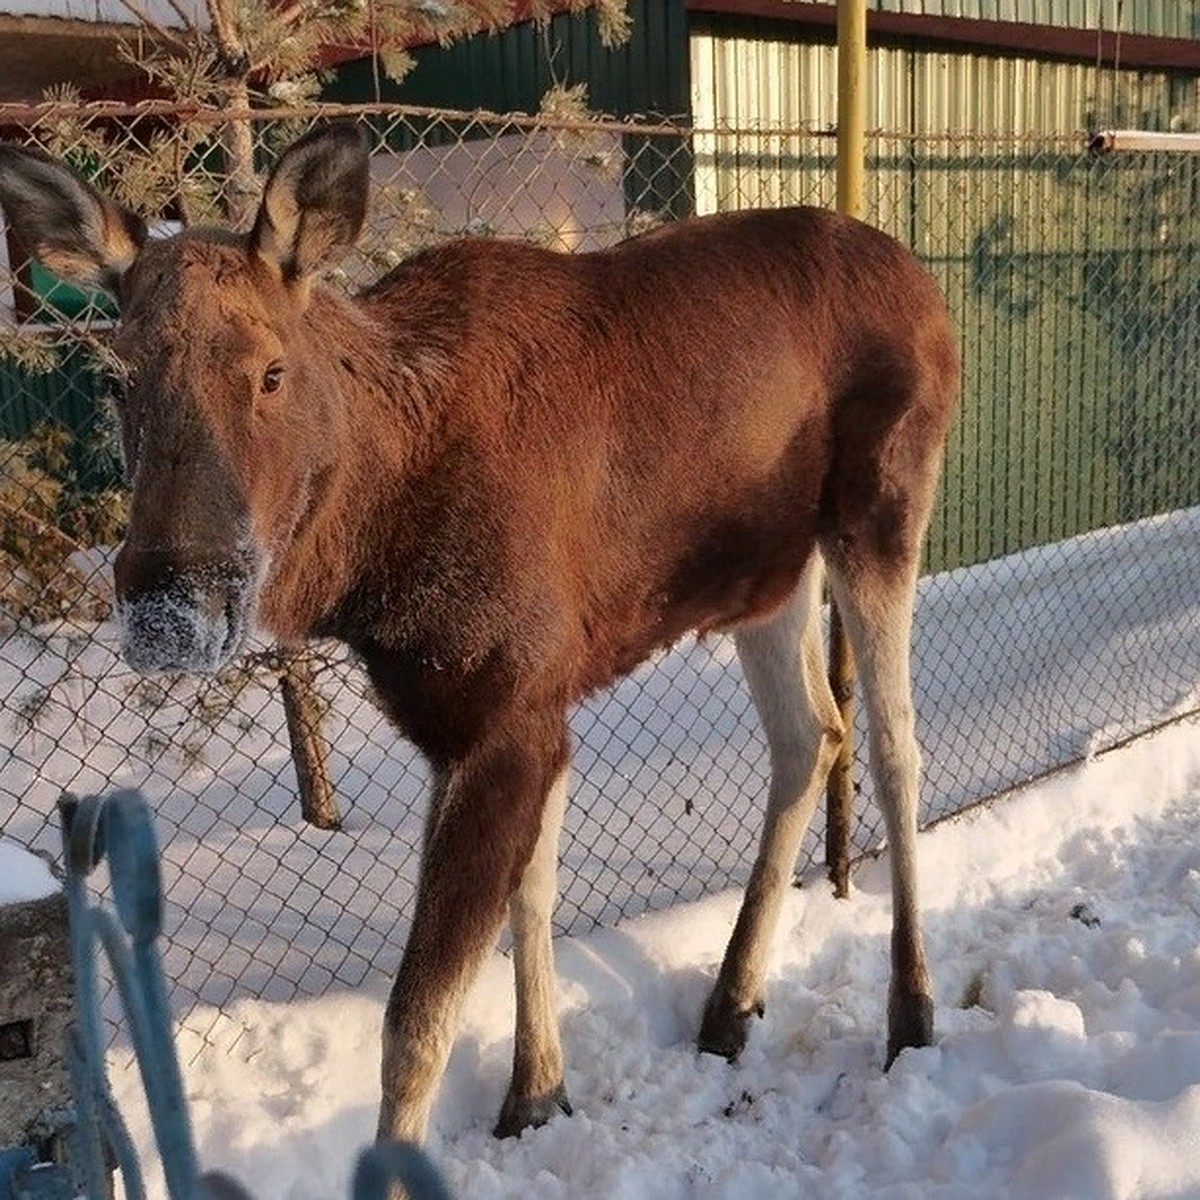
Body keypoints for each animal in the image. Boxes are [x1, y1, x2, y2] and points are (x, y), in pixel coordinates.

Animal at [0, 126, 955, 1147]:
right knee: (810, 733)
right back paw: (731, 1003)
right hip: (768, 572)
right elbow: (529, 894)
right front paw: (537, 1089)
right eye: (116, 379)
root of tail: (924, 285)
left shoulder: (504, 716)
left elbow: (417, 1021)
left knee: (895, 745)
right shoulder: (484, 719)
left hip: (881, 507)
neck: (372, 557)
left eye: (270, 371)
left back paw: (911, 1013)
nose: (169, 607)